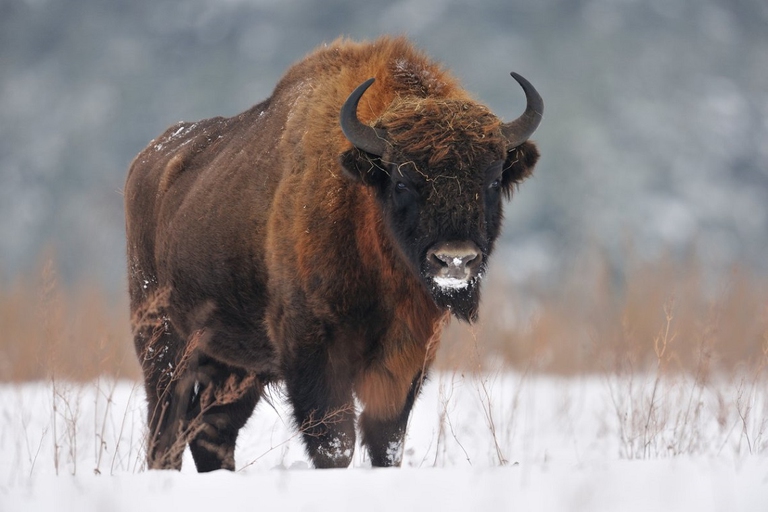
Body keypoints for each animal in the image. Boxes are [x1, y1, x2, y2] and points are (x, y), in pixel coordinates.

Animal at [125, 36, 542, 471]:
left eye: (492, 182)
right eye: (402, 181)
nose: (455, 258)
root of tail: (148, 160)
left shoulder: (406, 355)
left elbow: (385, 439)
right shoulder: (313, 350)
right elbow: (334, 441)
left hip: (234, 364)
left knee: (210, 430)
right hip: (164, 344)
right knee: (166, 430)